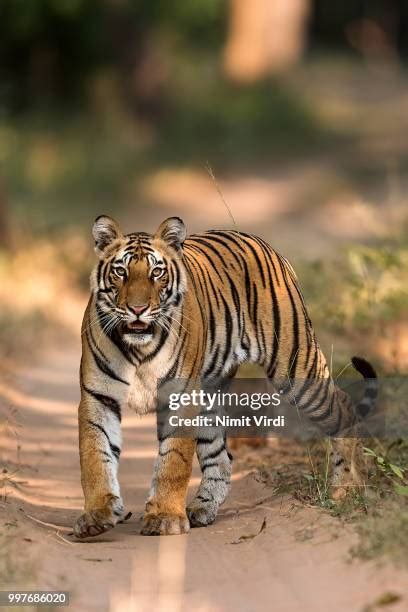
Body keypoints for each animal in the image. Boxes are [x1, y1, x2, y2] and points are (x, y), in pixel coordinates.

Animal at [72, 216, 376, 540]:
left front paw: (165, 517)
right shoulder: (98, 396)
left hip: (298, 370)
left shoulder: (181, 397)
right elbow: (95, 455)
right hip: (211, 396)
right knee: (221, 457)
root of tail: (259, 241)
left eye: (157, 272)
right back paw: (202, 508)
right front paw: (97, 515)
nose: (138, 309)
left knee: (344, 408)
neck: (139, 346)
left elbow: (173, 460)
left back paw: (347, 488)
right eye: (121, 272)